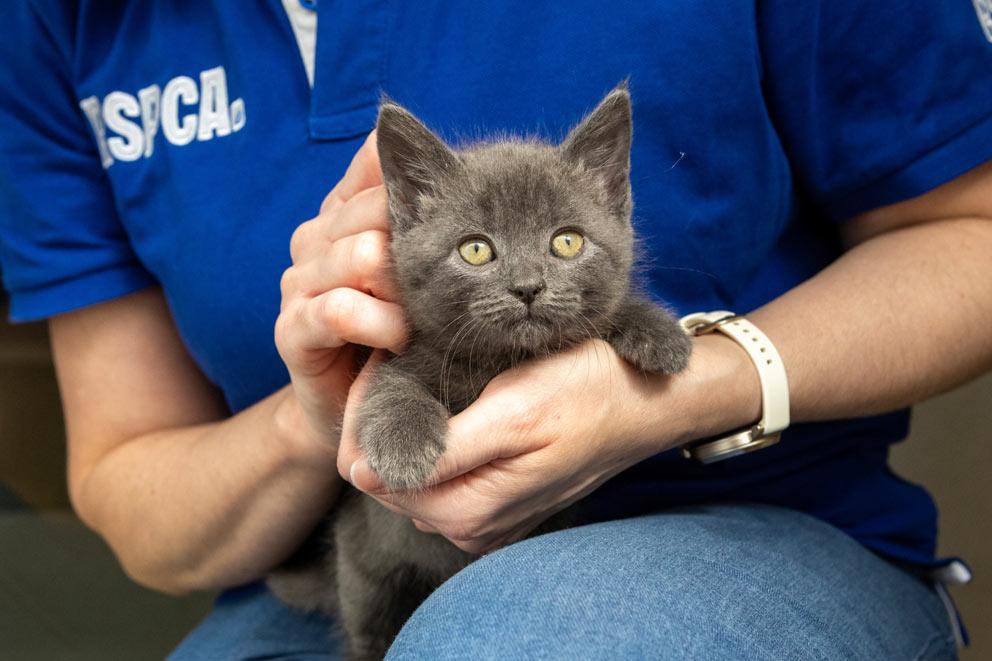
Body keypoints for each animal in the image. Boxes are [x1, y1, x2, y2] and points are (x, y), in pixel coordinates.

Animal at [270, 85, 688, 656]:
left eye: (567, 241)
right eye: (475, 249)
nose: (528, 286)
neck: (503, 360)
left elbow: (606, 312)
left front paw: (660, 334)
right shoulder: (404, 351)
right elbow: (390, 384)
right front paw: (403, 445)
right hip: (363, 572)